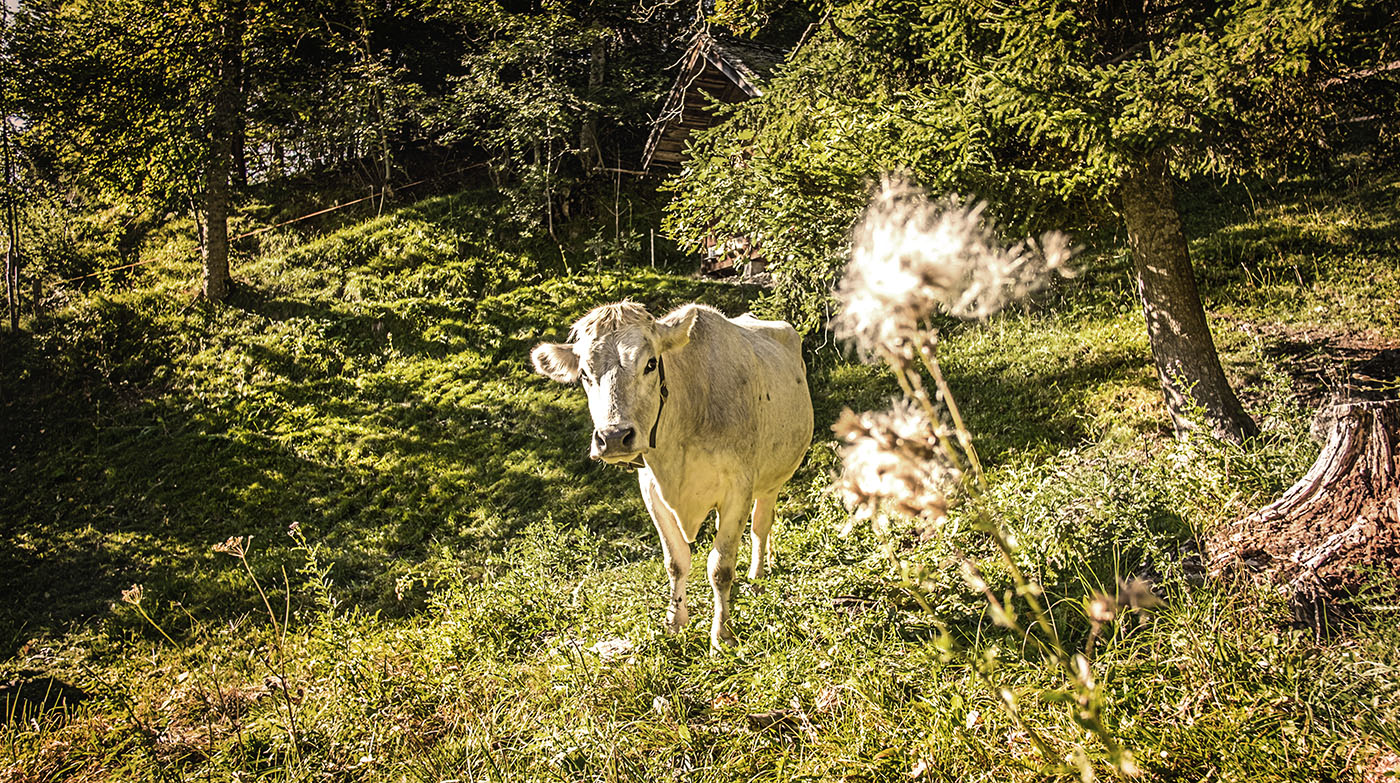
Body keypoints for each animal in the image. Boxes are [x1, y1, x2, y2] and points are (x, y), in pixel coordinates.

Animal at [531, 301, 813, 652]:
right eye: (584, 374)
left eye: (651, 364)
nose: (613, 437)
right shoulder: (651, 491)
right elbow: (676, 561)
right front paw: (674, 623)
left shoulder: (738, 489)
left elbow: (720, 566)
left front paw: (722, 635)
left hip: (773, 478)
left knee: (761, 526)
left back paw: (757, 575)